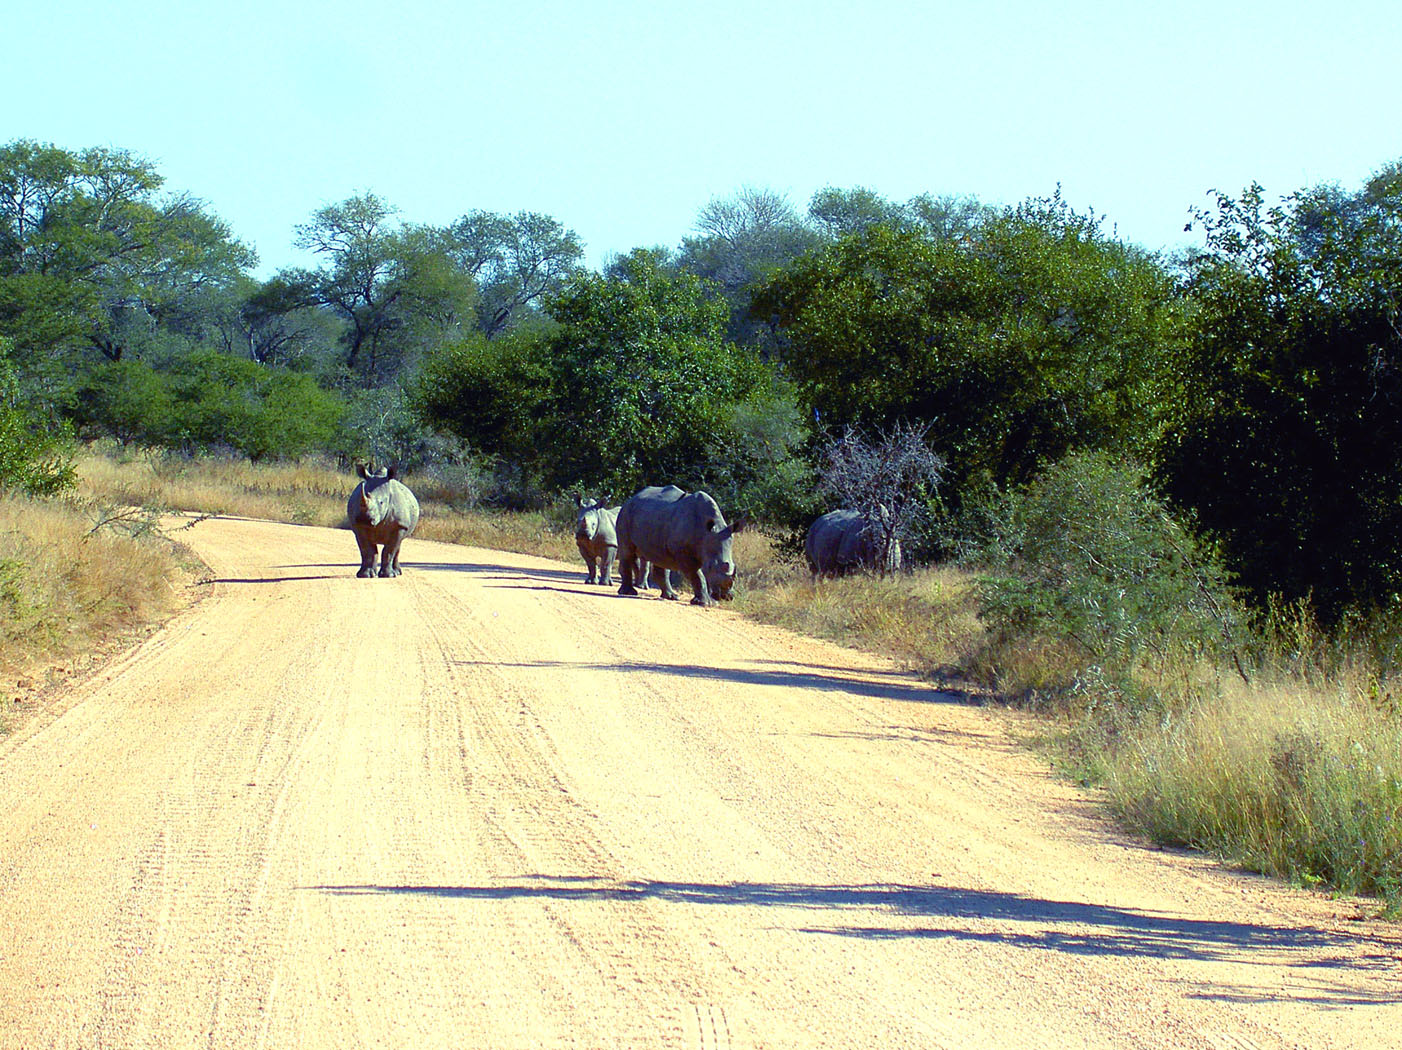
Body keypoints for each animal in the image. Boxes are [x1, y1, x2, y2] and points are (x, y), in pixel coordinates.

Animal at [614, 485, 745, 605]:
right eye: (710, 567)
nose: (725, 597)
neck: (707, 533)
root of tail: (630, 499)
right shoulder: (684, 554)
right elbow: (697, 575)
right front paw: (708, 603)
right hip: (625, 514)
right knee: (627, 552)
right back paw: (629, 592)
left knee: (660, 557)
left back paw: (671, 597)